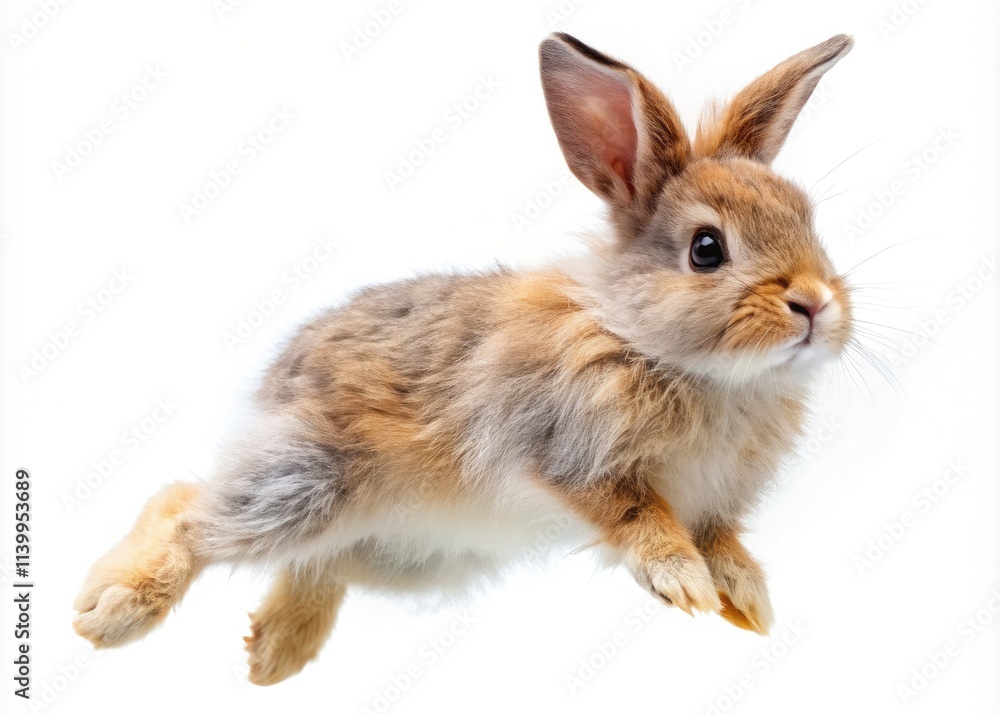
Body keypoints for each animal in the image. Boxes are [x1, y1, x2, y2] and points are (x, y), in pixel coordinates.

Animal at [73, 32, 855, 686]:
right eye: (706, 249)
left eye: (809, 222)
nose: (816, 303)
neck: (657, 349)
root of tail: (276, 379)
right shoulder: (570, 458)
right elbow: (639, 518)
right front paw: (683, 583)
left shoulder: (716, 507)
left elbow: (723, 542)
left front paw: (748, 599)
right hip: (307, 481)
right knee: (184, 506)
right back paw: (111, 611)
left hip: (405, 555)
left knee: (314, 562)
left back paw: (275, 654)